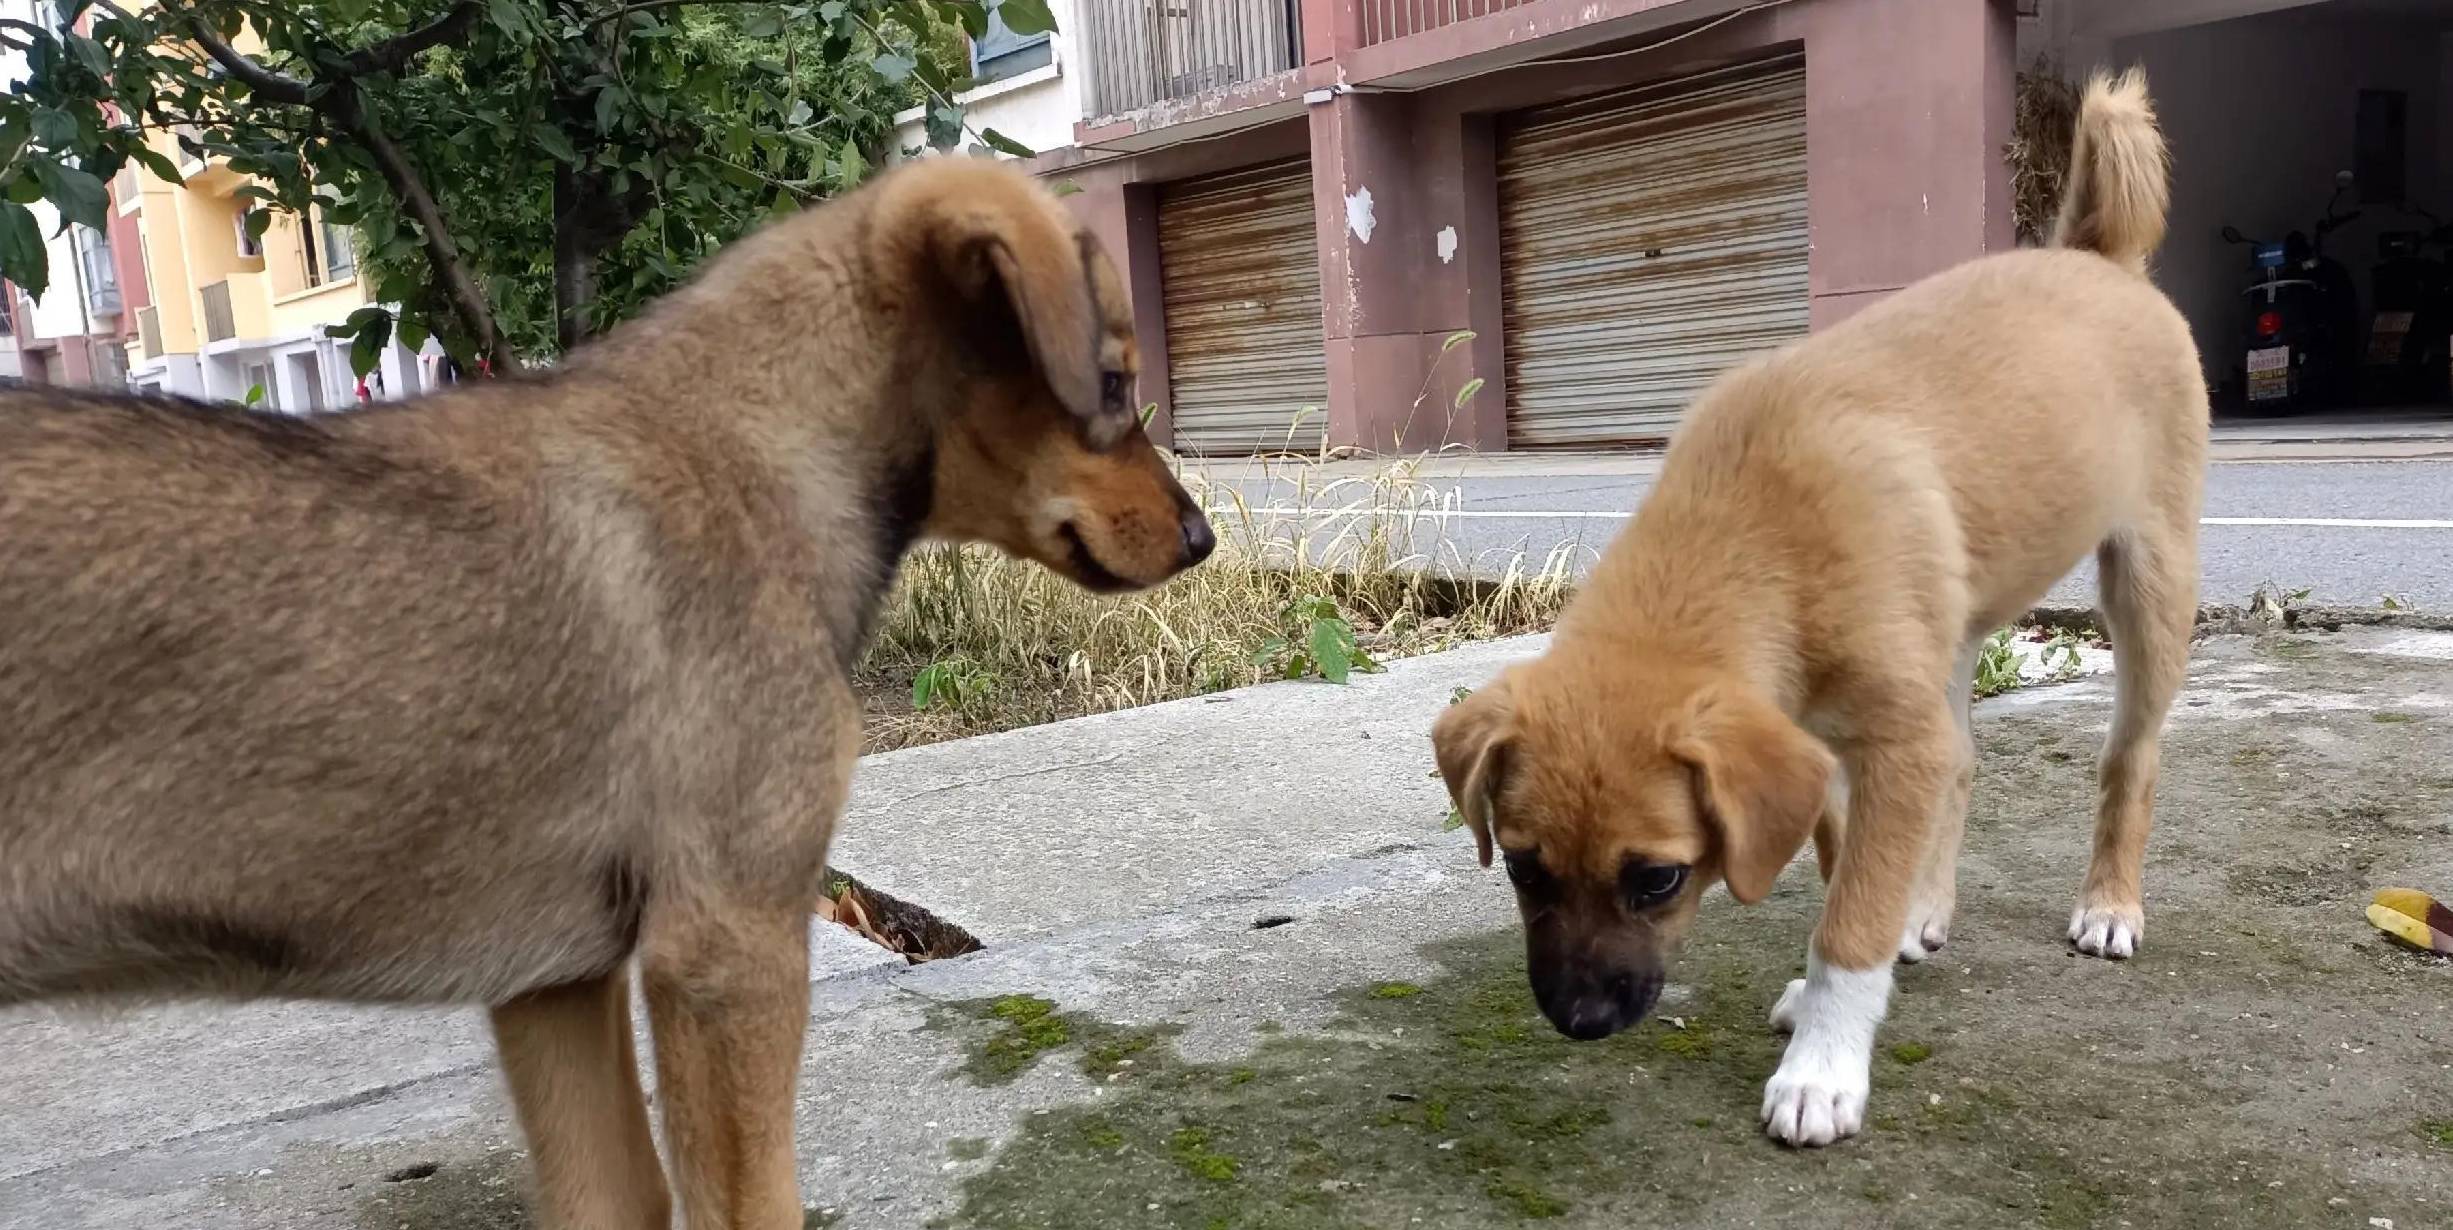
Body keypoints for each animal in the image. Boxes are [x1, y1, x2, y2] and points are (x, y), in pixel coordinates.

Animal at [4, 158, 1211, 1222]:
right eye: (1111, 384)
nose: (1201, 537)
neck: (755, 443)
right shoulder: (728, 952)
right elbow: (753, 1205)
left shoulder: (556, 982)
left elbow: (614, 1196)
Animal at [1432, 64, 2197, 1139]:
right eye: (1524, 867)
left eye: (1657, 878)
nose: (1579, 1021)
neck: (1749, 534)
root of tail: (2098, 255)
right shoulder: (1840, 740)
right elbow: (1849, 869)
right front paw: (1851, 977)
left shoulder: (1892, 739)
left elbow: (1852, 915)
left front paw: (1824, 1062)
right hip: (1951, 630)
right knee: (1962, 763)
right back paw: (1928, 909)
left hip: (2150, 575)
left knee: (2129, 756)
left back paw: (2109, 904)